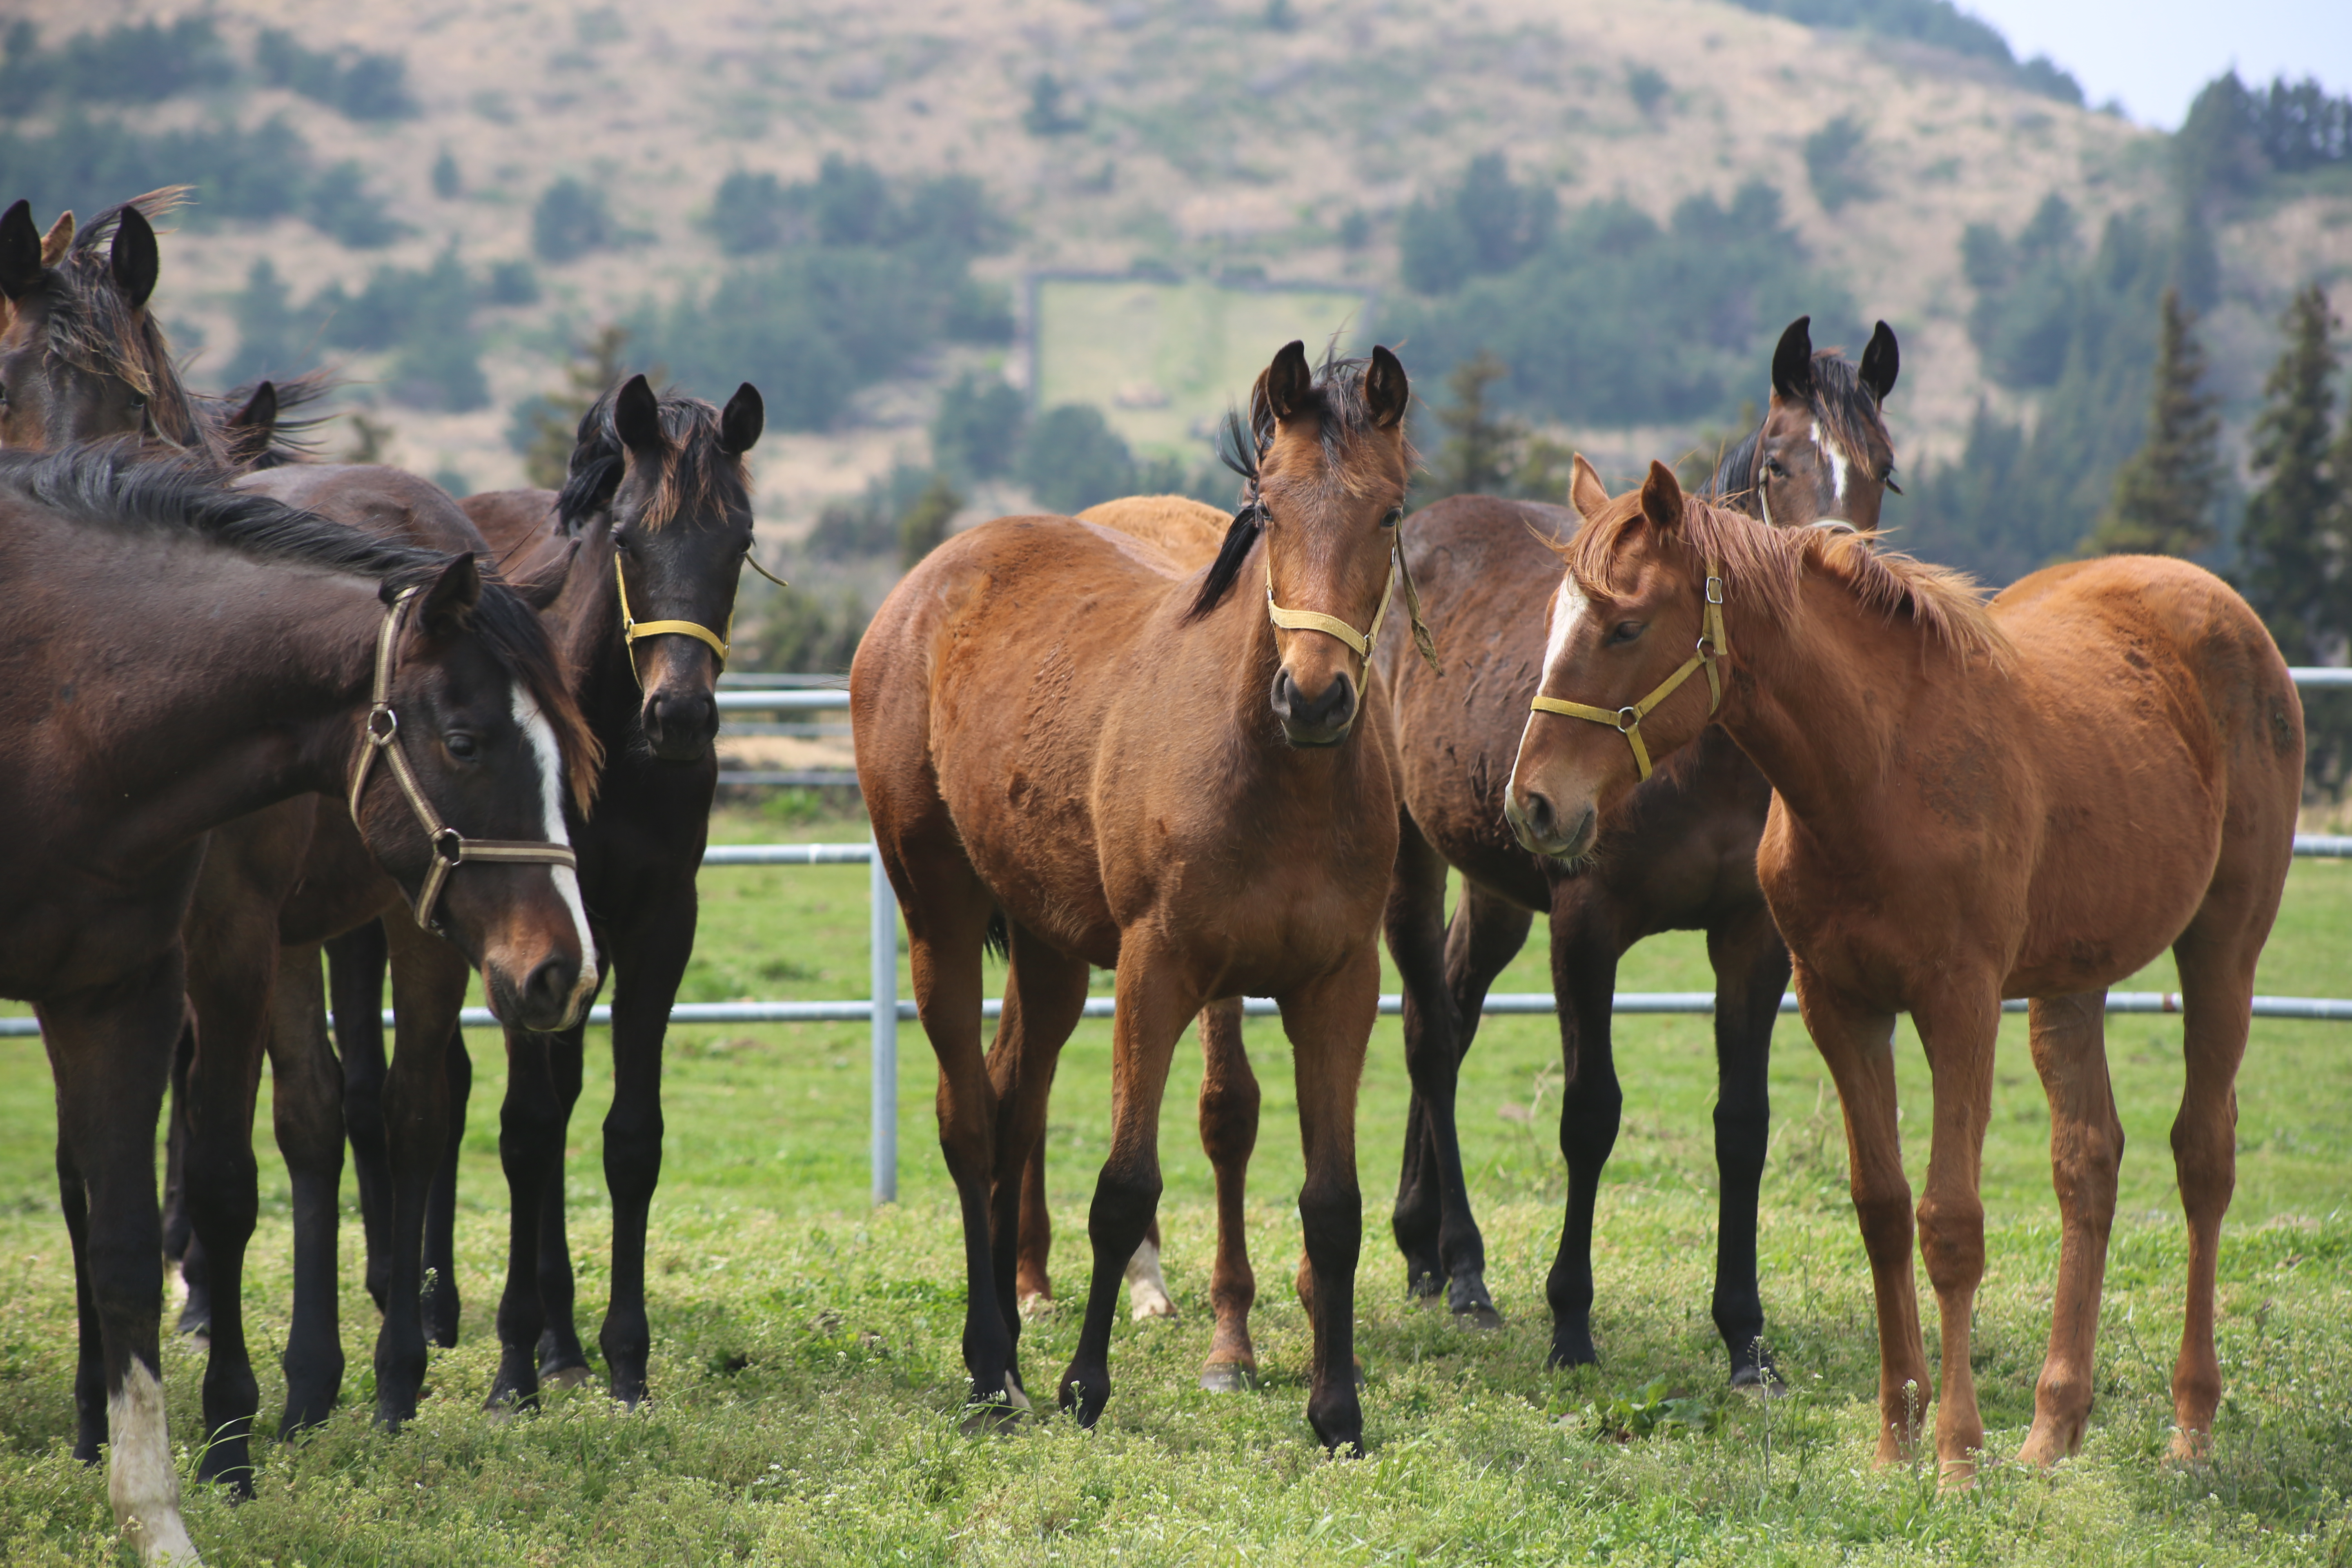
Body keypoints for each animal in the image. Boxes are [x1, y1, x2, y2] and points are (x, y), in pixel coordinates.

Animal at [0, 439, 602, 1561]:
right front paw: (99, 1422)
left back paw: (389, 1379)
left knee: (409, 1115)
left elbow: (202, 1198)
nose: (564, 969)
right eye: (464, 741)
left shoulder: (177, 968)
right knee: (329, 1118)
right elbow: (98, 1194)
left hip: (405, 926)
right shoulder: (151, 971)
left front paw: (222, 1449)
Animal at [861, 345, 1411, 1457]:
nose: (1314, 697)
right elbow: (1123, 1189)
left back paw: (1010, 1338)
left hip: (1050, 950)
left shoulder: (1336, 985)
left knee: (1011, 1101)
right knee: (967, 1120)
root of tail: (927, 585)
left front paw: (1335, 1409)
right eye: (1267, 508)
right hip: (938, 909)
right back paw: (991, 1371)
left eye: (1388, 512)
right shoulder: (1161, 969)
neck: (1276, 776)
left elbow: (1331, 1204)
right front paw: (1086, 1386)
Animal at [1373, 319, 1891, 1382]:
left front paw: (1744, 1333)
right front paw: (1570, 1321)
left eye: (1885, 471)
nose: (1838, 574)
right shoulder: (1586, 925)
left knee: (1457, 1003)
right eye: (1777, 464)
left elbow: (1742, 1125)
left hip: (1497, 886)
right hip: (1417, 858)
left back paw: (1423, 1244)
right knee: (1431, 1035)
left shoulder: (1749, 939)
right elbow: (1589, 1116)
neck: (1706, 763)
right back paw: (1464, 1267)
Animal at [1505, 465, 2295, 1486]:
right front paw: (1897, 1439)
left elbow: (1950, 1221)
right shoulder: (1839, 1005)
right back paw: (2052, 1429)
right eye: (1554, 616)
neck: (1880, 773)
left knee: (2203, 1159)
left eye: (1625, 626)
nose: (1533, 805)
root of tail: (2222, 609)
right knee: (2088, 1163)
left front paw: (1956, 1453)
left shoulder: (1959, 1004)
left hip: (2223, 947)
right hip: (2069, 981)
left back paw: (2191, 1425)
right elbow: (1880, 1209)